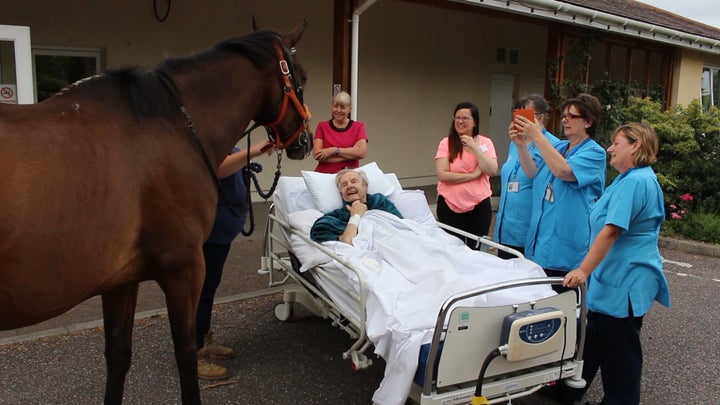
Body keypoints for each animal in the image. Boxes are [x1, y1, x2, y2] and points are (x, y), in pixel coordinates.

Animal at [0, 22, 310, 404]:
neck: (172, 126)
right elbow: (185, 354)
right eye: (302, 77)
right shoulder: (184, 268)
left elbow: (118, 355)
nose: (305, 141)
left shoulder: (120, 279)